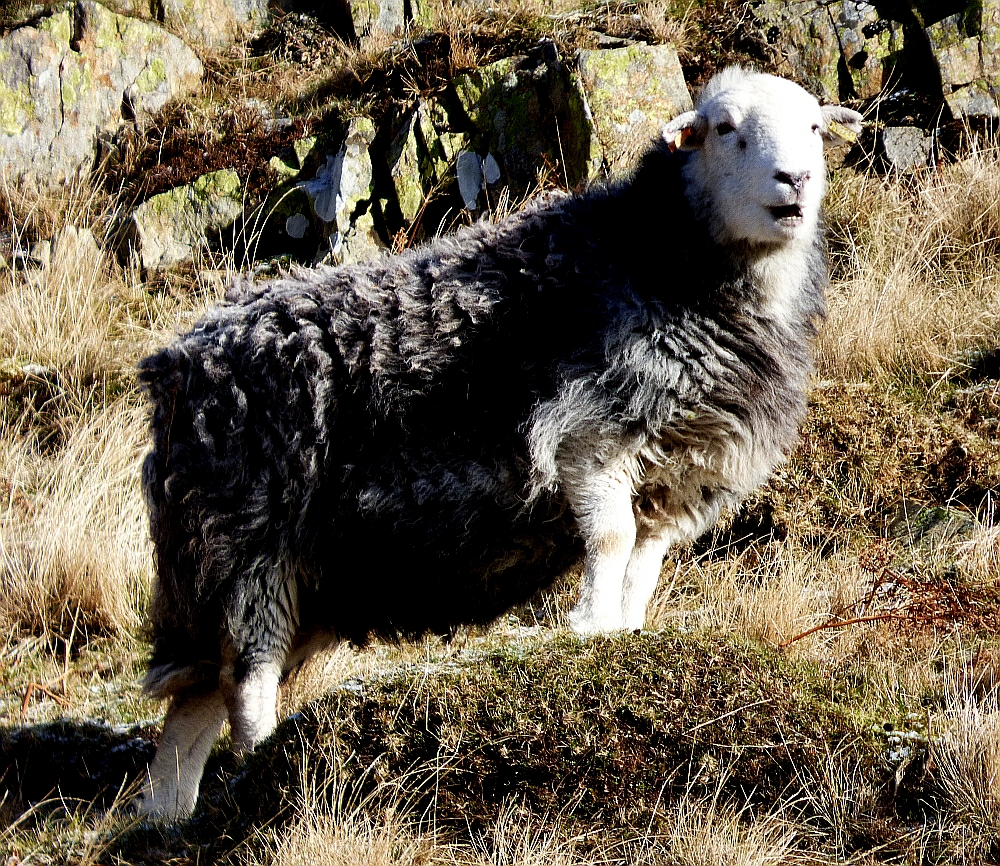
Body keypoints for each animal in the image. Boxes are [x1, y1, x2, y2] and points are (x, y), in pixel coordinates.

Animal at [136, 66, 862, 819]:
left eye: (814, 126)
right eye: (724, 128)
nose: (795, 180)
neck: (656, 256)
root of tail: (179, 360)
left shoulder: (675, 480)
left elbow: (642, 565)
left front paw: (628, 634)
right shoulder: (588, 438)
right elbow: (609, 541)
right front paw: (590, 626)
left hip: (303, 574)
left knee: (193, 707)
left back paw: (166, 819)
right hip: (247, 544)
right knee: (245, 684)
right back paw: (255, 767)